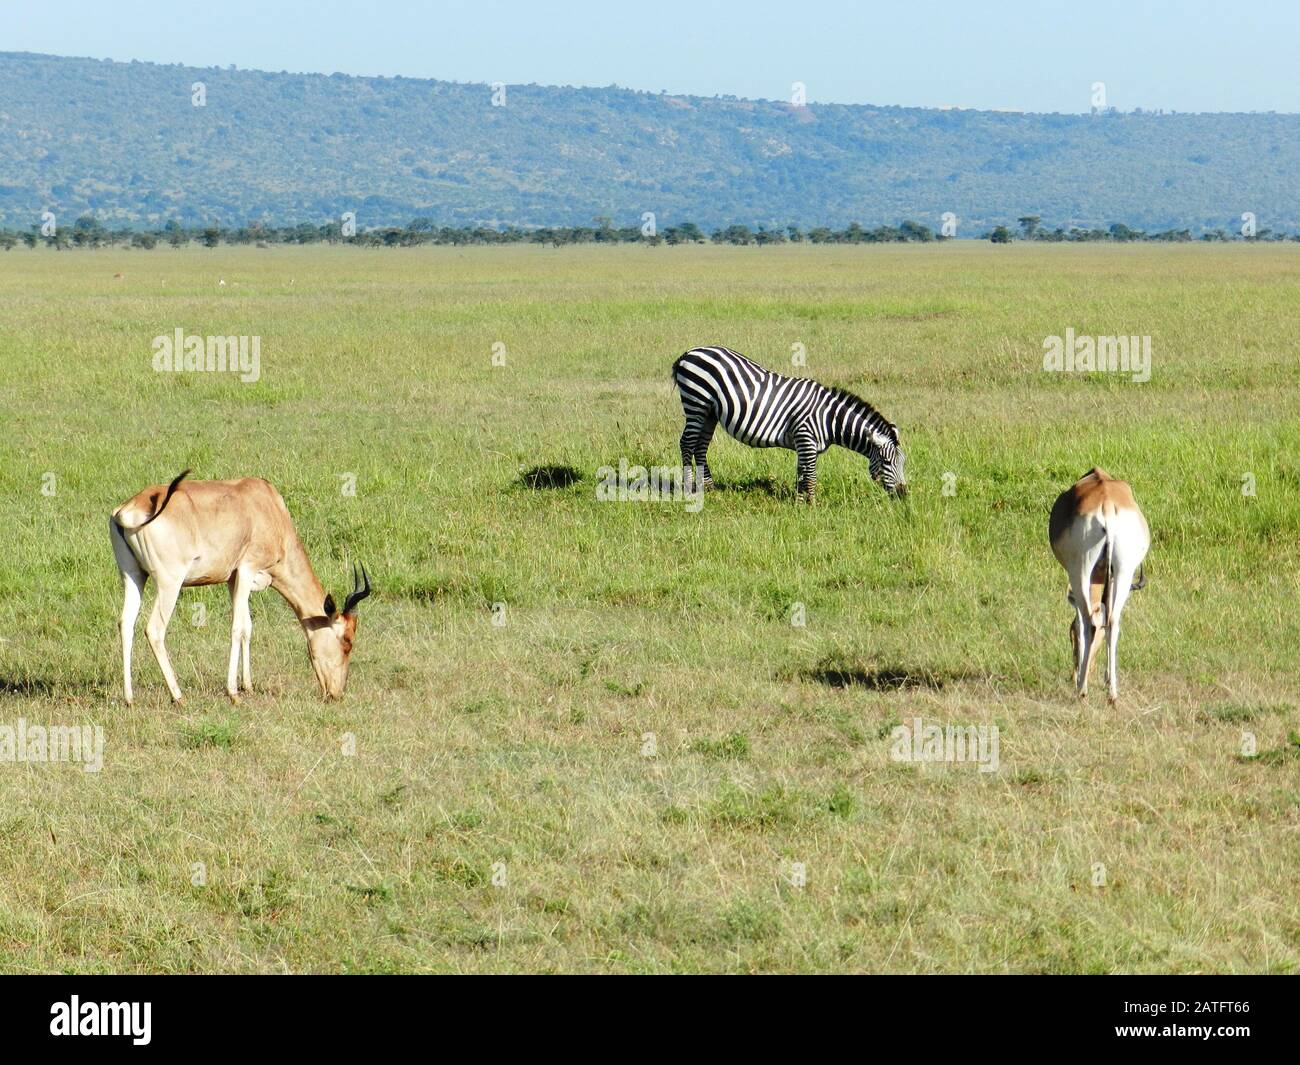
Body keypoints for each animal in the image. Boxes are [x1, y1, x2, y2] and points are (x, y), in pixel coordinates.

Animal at [672, 346, 907, 502]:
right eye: (887, 462)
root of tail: (689, 353)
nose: (904, 494)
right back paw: (688, 489)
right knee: (687, 444)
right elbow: (810, 475)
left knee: (701, 447)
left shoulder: (804, 444)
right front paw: (812, 505)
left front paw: (799, 501)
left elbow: (802, 473)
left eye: (903, 462)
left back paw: (709, 488)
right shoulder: (805, 437)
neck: (828, 418)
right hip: (696, 403)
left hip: (710, 413)